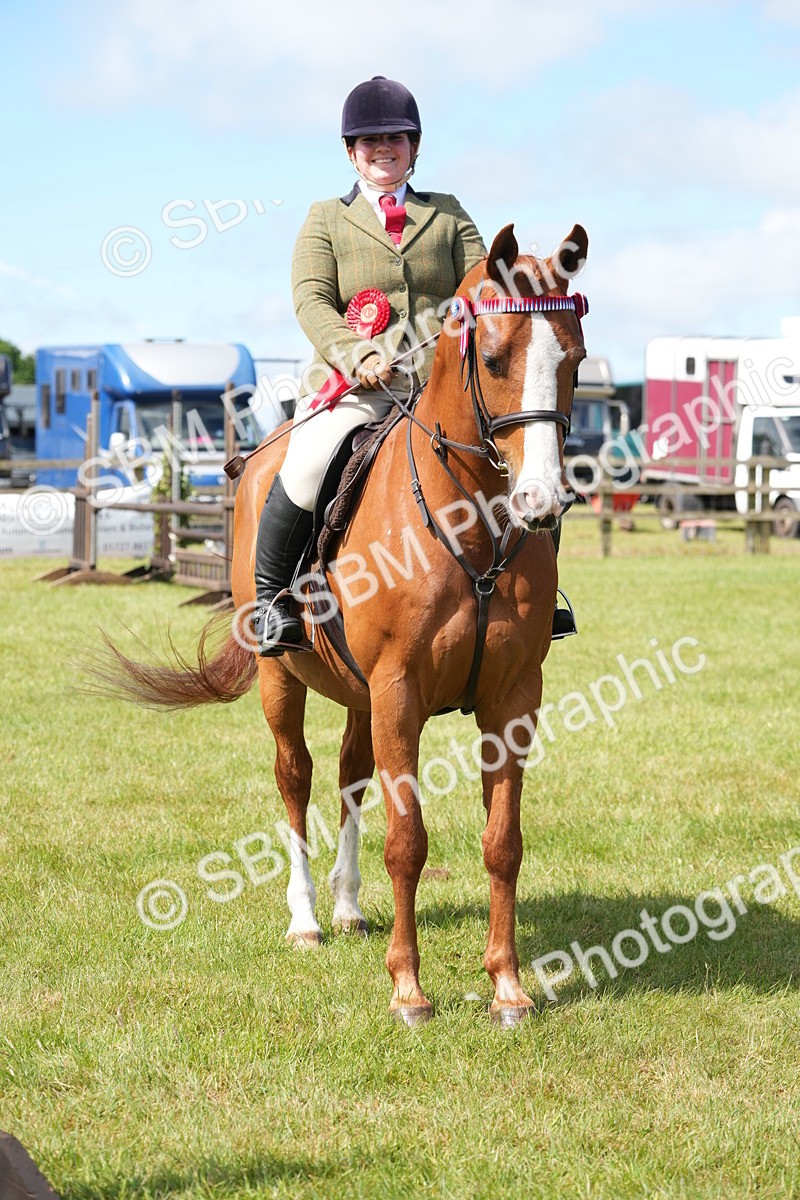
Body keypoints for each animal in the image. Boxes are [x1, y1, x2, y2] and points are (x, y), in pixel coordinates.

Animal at [98, 222, 589, 1027]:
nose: (541, 502)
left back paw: (351, 907)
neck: (470, 526)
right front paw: (409, 990)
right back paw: (305, 918)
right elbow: (408, 841)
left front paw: (508, 987)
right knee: (294, 777)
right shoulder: (399, 691)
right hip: (283, 678)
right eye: (493, 359)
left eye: (572, 360)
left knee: (350, 774)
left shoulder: (511, 698)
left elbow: (502, 842)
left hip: (363, 695)